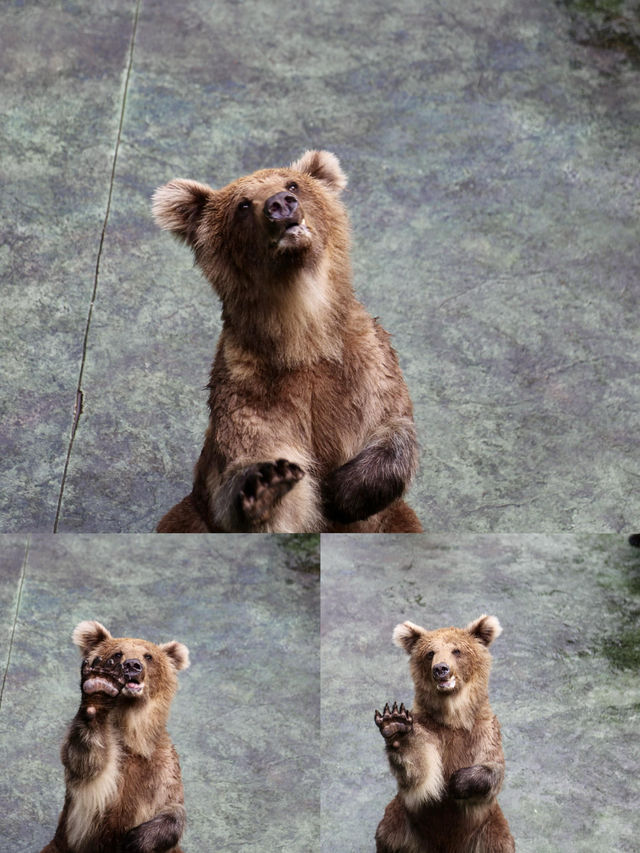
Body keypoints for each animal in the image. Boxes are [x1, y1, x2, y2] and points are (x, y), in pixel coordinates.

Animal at [39, 620, 189, 852]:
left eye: (148, 656)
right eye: (118, 654)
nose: (133, 665)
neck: (132, 735)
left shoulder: (162, 768)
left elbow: (173, 807)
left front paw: (137, 839)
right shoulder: (98, 779)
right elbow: (87, 761)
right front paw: (100, 687)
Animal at [152, 148, 422, 532]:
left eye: (293, 183)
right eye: (243, 204)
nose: (280, 203)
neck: (304, 335)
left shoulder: (367, 366)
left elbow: (393, 428)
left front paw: (340, 490)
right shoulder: (252, 392)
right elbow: (260, 470)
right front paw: (268, 484)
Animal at [376, 612, 516, 852]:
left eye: (456, 650)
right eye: (430, 653)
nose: (440, 668)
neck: (453, 717)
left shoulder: (484, 732)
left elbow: (494, 769)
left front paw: (457, 781)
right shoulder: (428, 729)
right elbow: (419, 771)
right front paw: (395, 725)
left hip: (488, 830)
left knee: (500, 843)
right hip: (403, 826)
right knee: (387, 835)